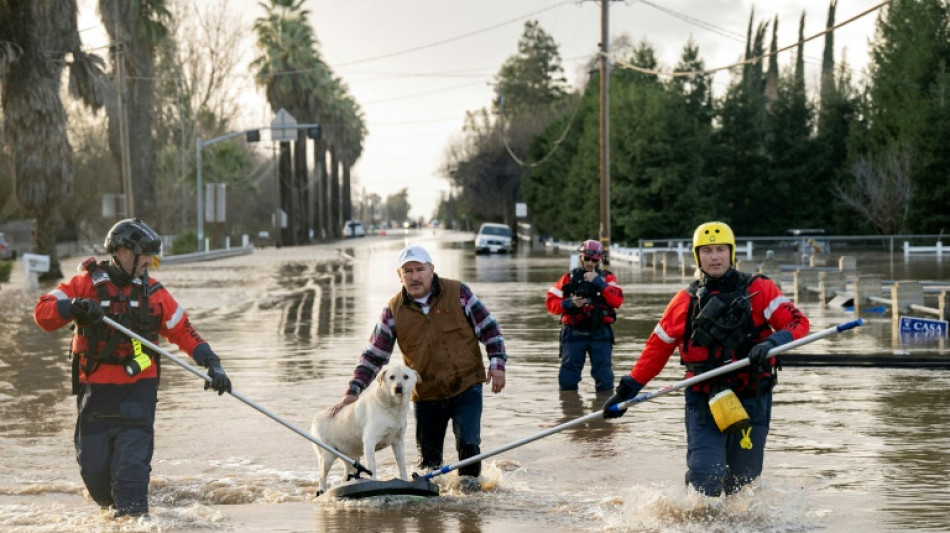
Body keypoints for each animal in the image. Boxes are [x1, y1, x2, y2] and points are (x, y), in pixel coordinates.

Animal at [312, 364, 420, 492]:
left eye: (406, 377)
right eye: (392, 377)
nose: (398, 388)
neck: (392, 407)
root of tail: (314, 420)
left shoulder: (397, 442)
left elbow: (402, 465)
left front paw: (405, 481)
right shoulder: (369, 442)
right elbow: (372, 468)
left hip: (351, 458)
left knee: (346, 475)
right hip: (327, 456)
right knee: (321, 477)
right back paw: (322, 491)